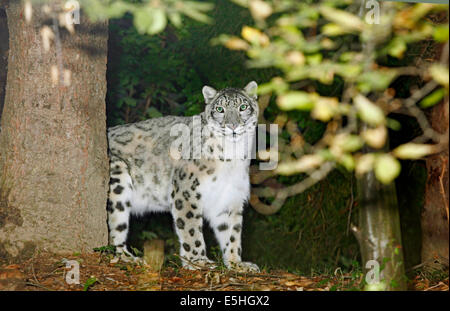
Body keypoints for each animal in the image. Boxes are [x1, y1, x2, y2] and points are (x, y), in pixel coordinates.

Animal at [106, 82, 260, 272]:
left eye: (243, 107)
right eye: (220, 109)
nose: (232, 125)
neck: (232, 158)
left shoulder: (229, 197)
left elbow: (231, 234)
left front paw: (237, 264)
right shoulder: (187, 191)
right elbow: (191, 229)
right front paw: (199, 261)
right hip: (118, 180)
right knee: (113, 230)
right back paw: (128, 258)